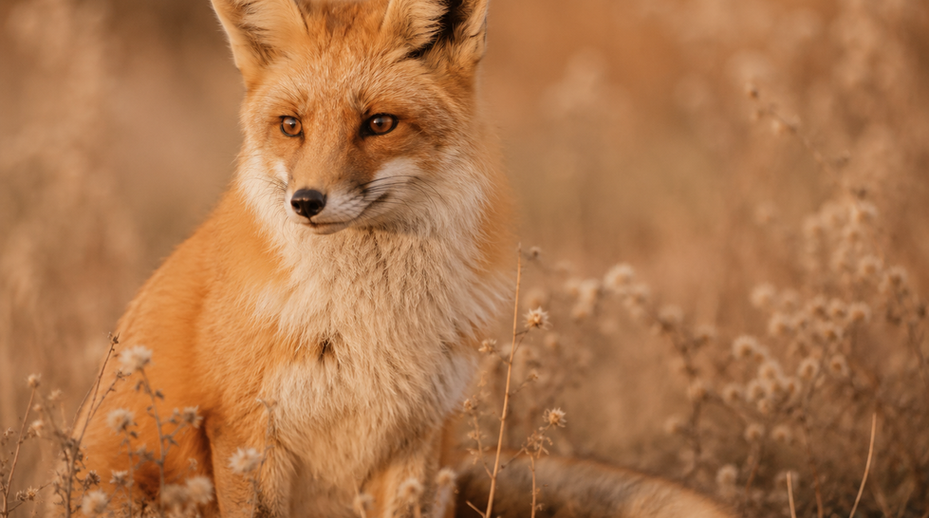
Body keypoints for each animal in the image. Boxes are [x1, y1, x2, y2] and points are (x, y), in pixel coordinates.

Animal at [75, 0, 735, 517]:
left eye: (379, 123)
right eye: (291, 126)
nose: (305, 202)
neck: (370, 328)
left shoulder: (417, 435)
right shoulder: (248, 434)